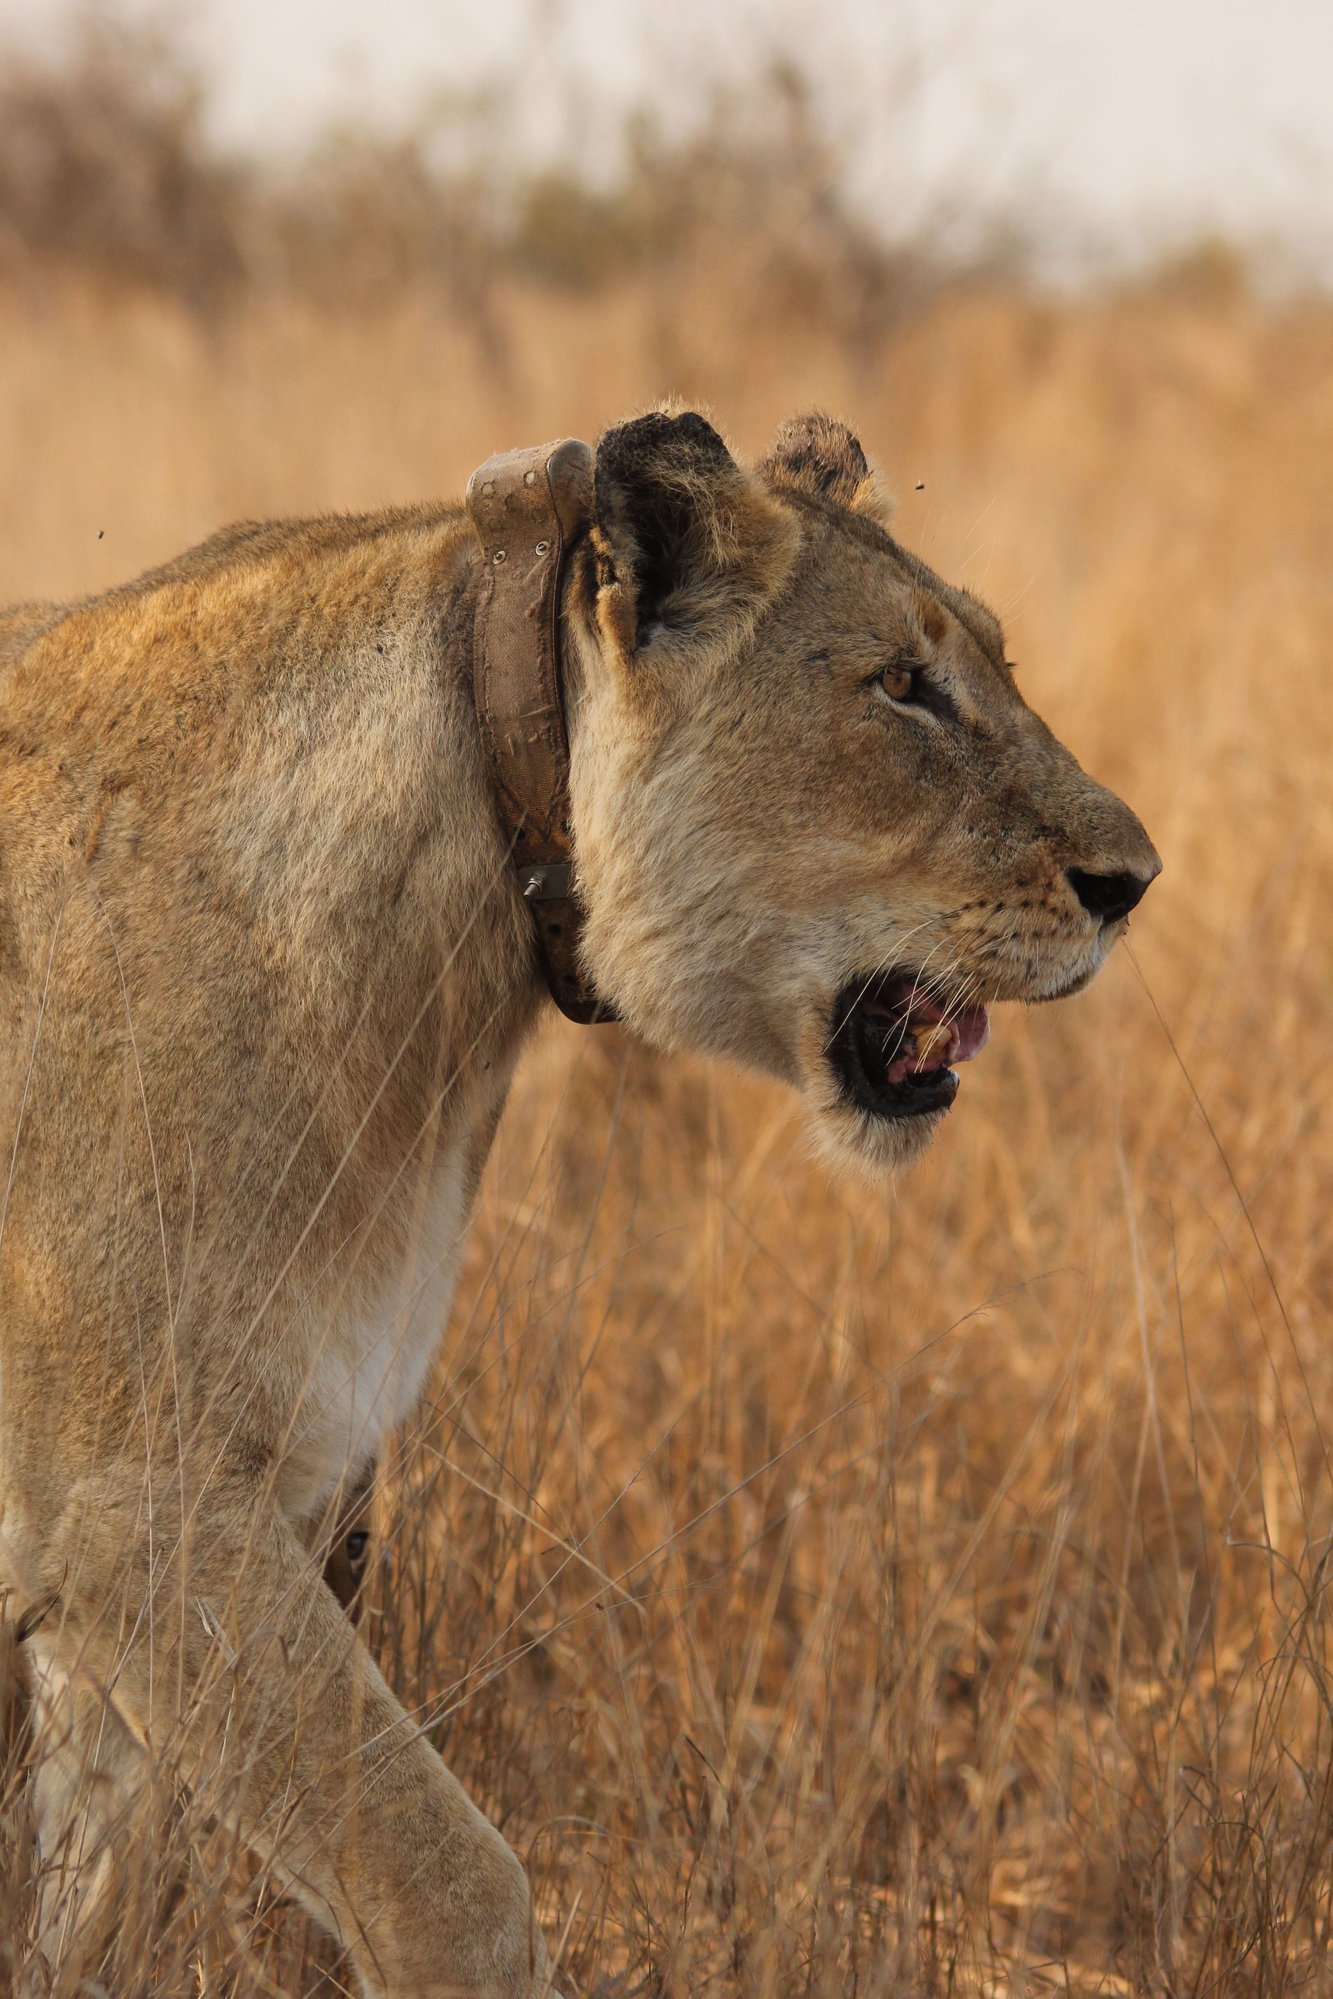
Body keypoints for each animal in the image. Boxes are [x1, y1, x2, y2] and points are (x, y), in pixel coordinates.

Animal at [0, 410, 1158, 1996]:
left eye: (991, 658)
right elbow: (448, 1881)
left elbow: (92, 1911)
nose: (1134, 882)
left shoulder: (232, 1510)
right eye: (900, 686)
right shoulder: (134, 1504)